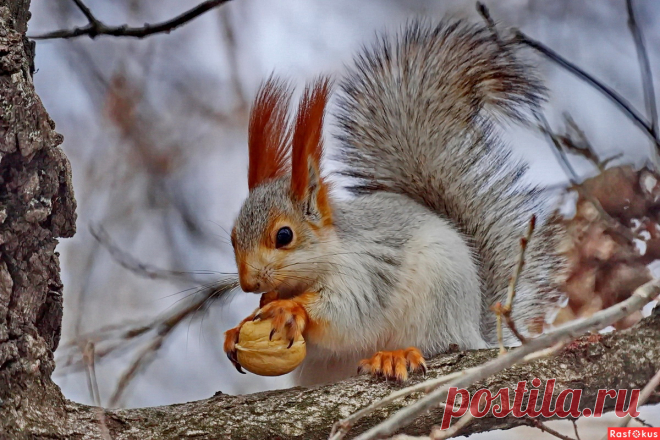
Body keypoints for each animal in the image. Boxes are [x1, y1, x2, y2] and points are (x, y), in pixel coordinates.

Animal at [224, 19, 564, 384]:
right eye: (232, 239)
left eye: (284, 235)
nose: (249, 284)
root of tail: (474, 331)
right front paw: (237, 329)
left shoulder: (363, 272)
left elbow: (346, 313)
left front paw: (291, 307)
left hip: (438, 302)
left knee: (436, 344)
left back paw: (396, 356)